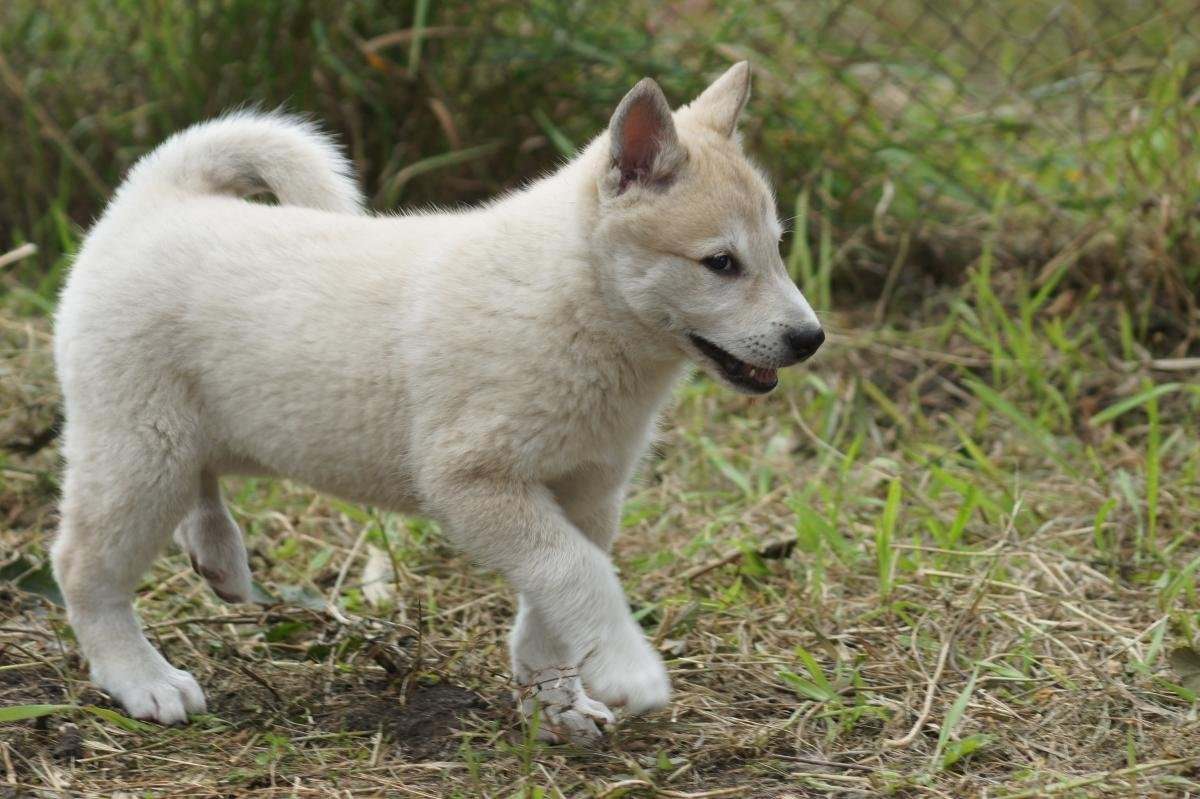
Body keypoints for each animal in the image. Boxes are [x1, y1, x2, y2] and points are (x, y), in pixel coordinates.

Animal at [54, 62, 825, 739]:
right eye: (720, 263)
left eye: (777, 250)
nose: (810, 338)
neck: (573, 302)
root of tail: (157, 197)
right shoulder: (474, 481)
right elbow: (576, 573)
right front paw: (628, 671)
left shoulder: (586, 491)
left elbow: (557, 596)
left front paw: (554, 701)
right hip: (141, 449)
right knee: (83, 568)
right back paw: (141, 677)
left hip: (188, 438)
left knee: (199, 486)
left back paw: (217, 554)